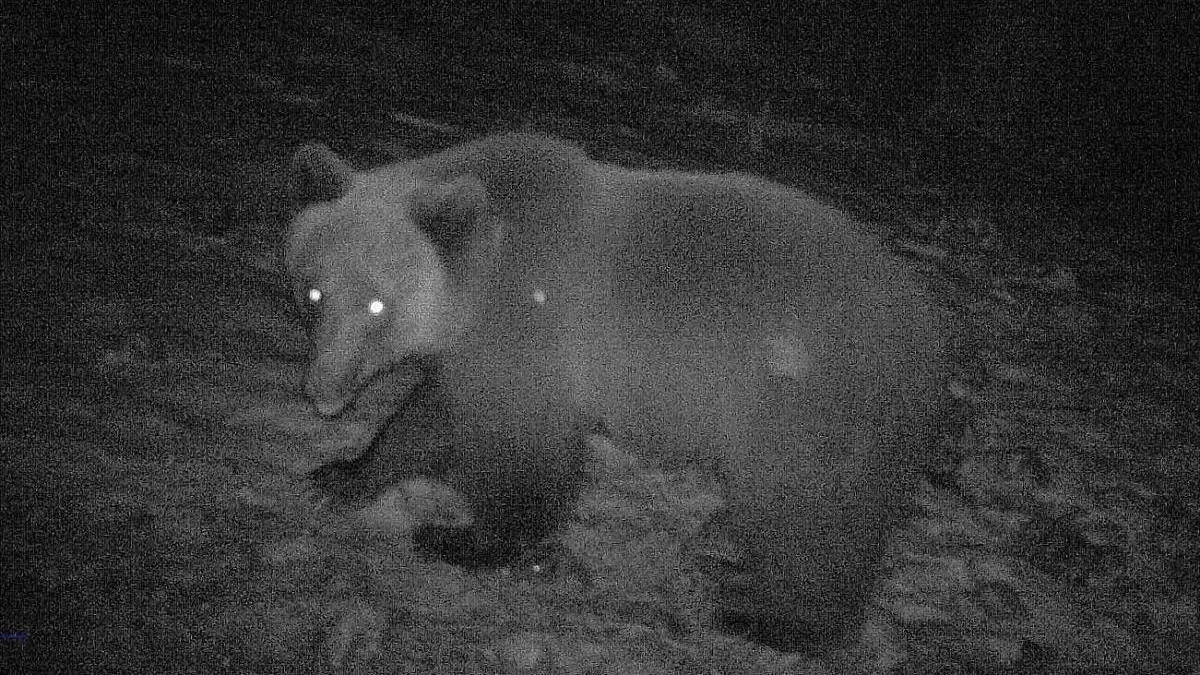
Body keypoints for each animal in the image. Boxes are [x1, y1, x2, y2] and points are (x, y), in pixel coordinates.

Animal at [283, 132, 945, 648]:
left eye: (377, 304)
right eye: (312, 292)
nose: (323, 394)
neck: (476, 283)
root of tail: (927, 322)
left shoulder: (535, 330)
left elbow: (522, 449)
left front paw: (468, 540)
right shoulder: (475, 354)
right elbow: (430, 416)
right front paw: (343, 474)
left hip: (806, 400)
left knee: (811, 513)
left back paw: (780, 620)